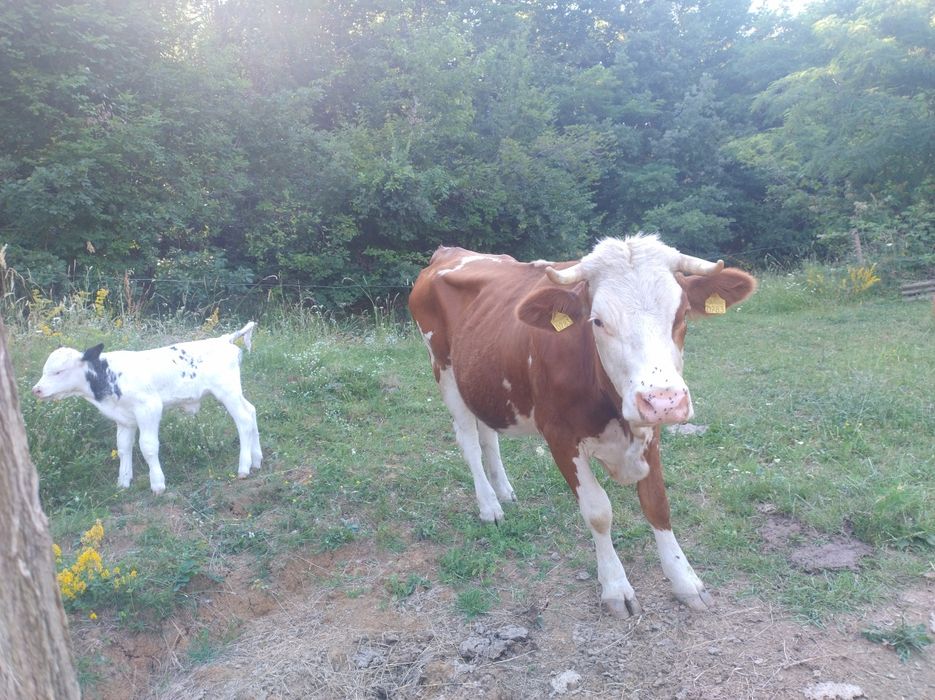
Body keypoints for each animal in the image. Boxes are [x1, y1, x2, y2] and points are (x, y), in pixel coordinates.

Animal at [32, 322, 262, 494]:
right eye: (44, 370)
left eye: (59, 371)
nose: (37, 389)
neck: (110, 377)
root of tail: (223, 339)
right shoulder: (124, 419)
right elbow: (123, 447)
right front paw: (123, 482)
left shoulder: (149, 408)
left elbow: (148, 446)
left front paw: (157, 484)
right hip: (234, 392)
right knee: (251, 411)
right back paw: (257, 460)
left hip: (227, 391)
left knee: (244, 419)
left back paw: (244, 467)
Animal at [408, 234, 756, 616]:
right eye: (597, 321)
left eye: (681, 315)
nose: (664, 400)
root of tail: (450, 252)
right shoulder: (559, 436)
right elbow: (598, 511)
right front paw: (616, 588)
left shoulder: (650, 432)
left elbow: (657, 504)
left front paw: (685, 581)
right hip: (443, 370)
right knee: (469, 440)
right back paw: (489, 506)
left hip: (482, 379)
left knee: (488, 435)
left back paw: (504, 491)